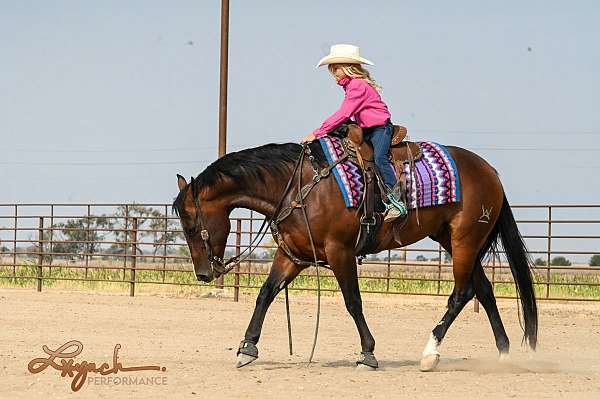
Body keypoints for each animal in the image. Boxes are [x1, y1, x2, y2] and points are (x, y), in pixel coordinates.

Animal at [171, 141, 536, 372]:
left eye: (191, 225)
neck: (299, 188)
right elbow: (265, 294)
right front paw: (247, 348)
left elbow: (353, 302)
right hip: (452, 239)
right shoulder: (294, 255)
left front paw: (368, 354)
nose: (203, 274)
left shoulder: (340, 251)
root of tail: (489, 170)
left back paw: (430, 354)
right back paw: (504, 353)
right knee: (484, 289)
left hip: (464, 240)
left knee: (461, 293)